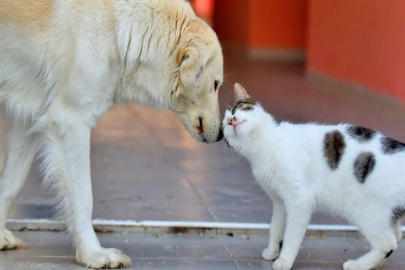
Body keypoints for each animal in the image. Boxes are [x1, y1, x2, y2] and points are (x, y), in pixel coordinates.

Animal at [0, 0, 223, 268]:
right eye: (216, 84)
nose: (222, 135)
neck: (120, 26)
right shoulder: (71, 123)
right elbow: (83, 198)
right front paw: (93, 254)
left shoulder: (28, 120)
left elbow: (11, 184)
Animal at [221, 83, 404, 268]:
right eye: (224, 126)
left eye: (236, 109)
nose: (230, 120)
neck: (262, 146)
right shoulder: (279, 201)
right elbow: (276, 228)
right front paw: (272, 251)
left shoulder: (300, 200)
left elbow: (291, 235)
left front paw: (284, 260)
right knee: (396, 236)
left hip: (369, 214)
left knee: (388, 244)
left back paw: (357, 265)